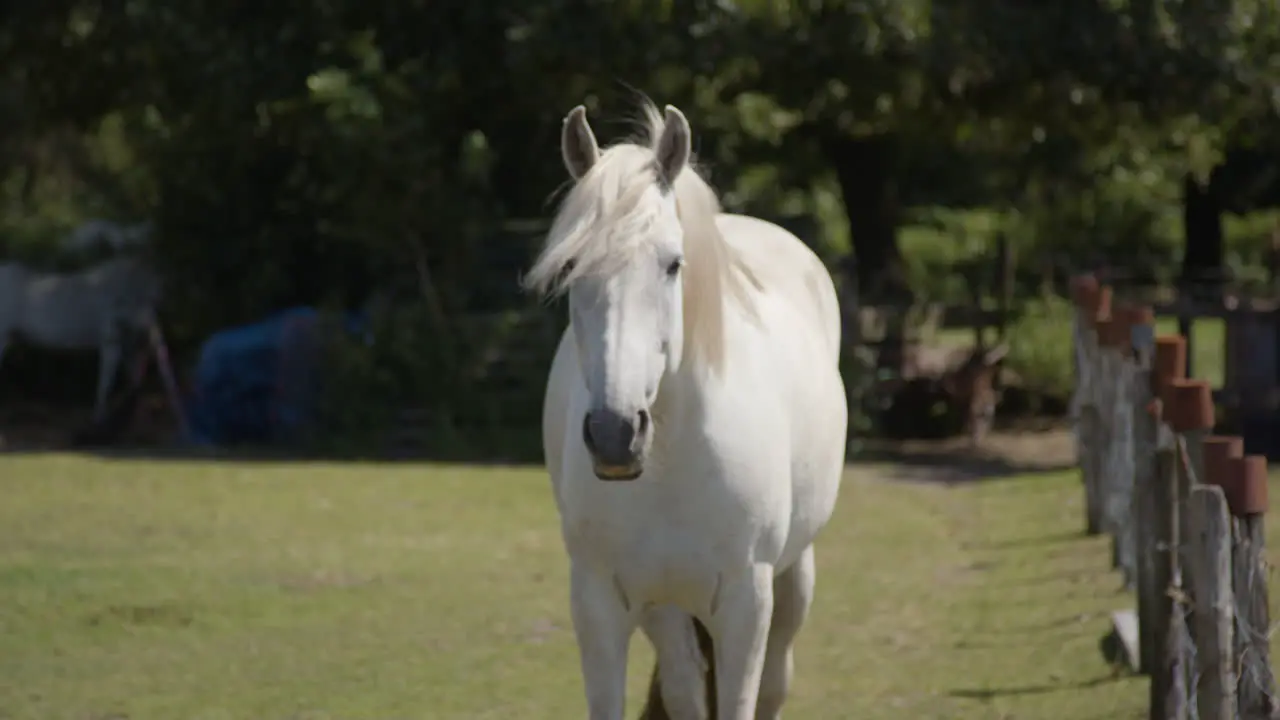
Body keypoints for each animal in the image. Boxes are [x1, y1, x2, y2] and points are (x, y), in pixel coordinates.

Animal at [0, 254, 163, 420]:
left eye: (153, 299)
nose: (149, 339)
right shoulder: (110, 343)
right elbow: (107, 381)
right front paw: (99, 416)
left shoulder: (125, 344)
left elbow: (133, 378)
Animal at [522, 101, 849, 717]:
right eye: (572, 266)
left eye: (673, 264)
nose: (615, 434)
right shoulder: (602, 605)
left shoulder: (746, 606)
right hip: (666, 609)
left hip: (794, 579)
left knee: (776, 682)